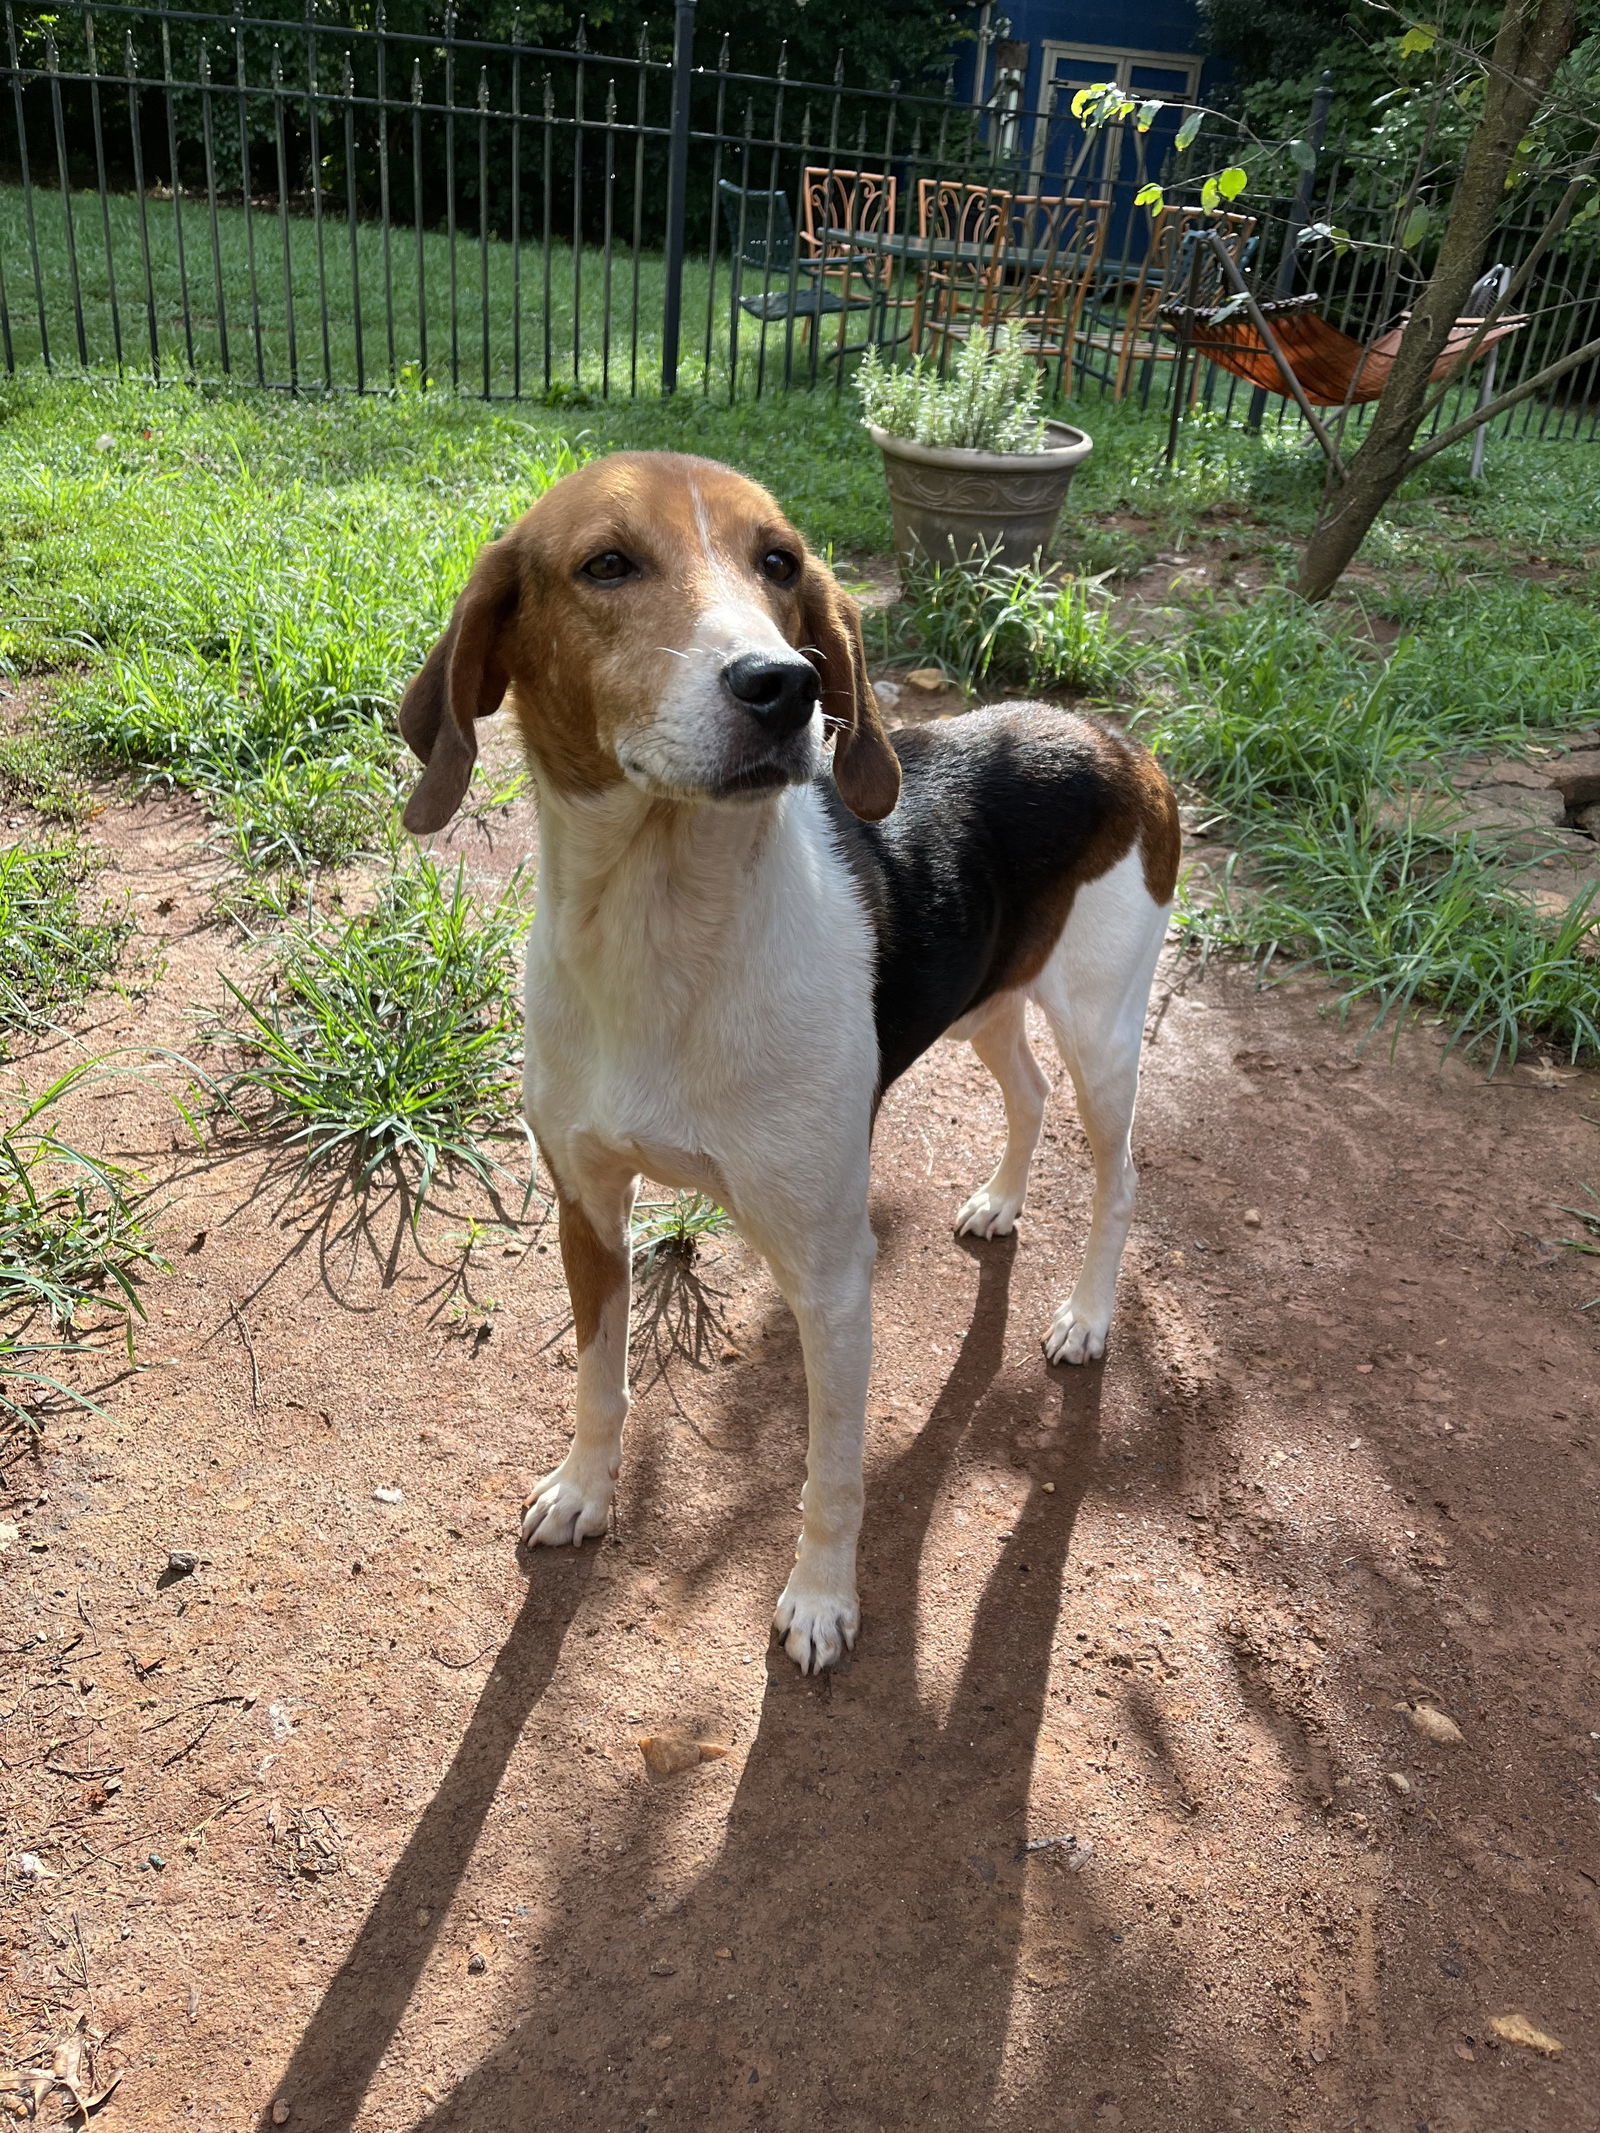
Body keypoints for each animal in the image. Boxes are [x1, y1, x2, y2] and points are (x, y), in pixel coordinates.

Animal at [401, 458, 1177, 1672]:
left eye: (780, 563)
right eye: (606, 564)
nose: (786, 685)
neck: (663, 931)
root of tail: (1113, 737)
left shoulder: (829, 1272)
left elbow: (830, 1471)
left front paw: (820, 1601)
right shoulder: (587, 1208)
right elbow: (600, 1382)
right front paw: (584, 1492)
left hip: (1103, 1027)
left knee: (1118, 1172)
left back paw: (1088, 1317)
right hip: (985, 1004)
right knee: (1028, 1091)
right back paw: (1000, 1202)